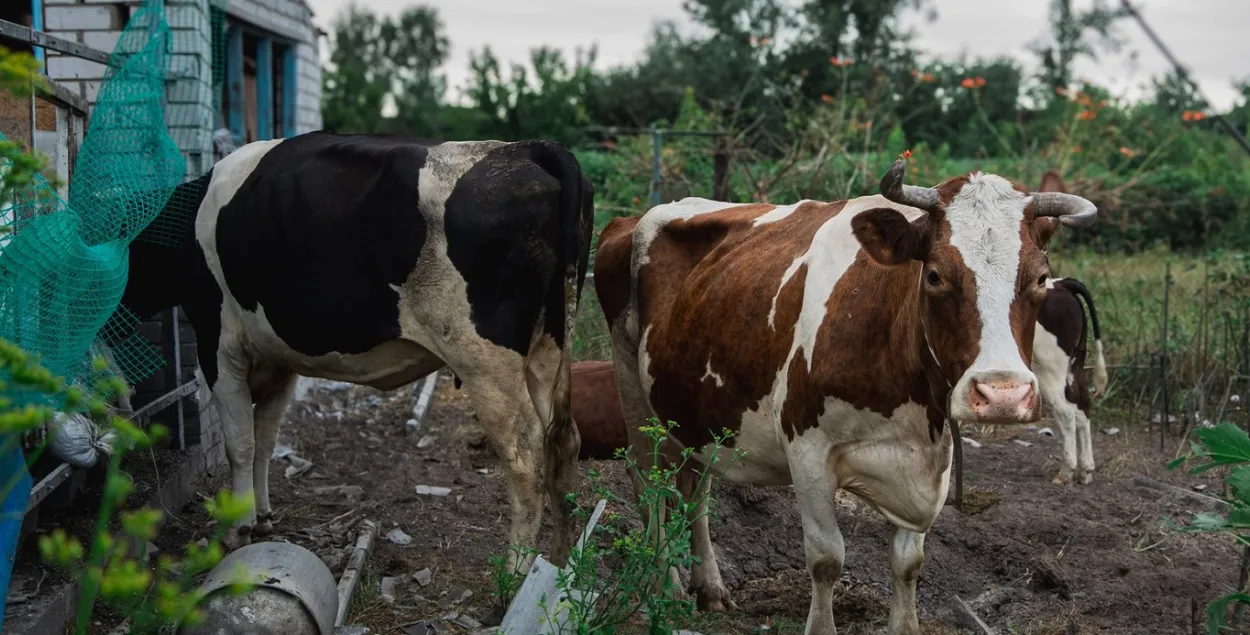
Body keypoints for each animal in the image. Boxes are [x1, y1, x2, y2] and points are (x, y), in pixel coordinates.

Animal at [114, 131, 595, 571]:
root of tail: (526, 147)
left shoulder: (218, 344)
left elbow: (240, 444)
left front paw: (237, 529)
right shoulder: (278, 358)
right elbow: (266, 440)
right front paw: (264, 517)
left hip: (485, 361)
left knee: (526, 457)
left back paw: (513, 577)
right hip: (549, 346)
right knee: (564, 441)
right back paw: (559, 566)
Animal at [594, 159, 1097, 635]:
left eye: (1040, 278)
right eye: (935, 275)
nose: (1002, 394)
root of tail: (632, 219)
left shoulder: (928, 459)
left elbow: (908, 563)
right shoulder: (808, 450)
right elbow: (826, 558)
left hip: (696, 411)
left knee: (695, 489)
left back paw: (710, 588)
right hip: (631, 388)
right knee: (647, 485)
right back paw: (663, 586)